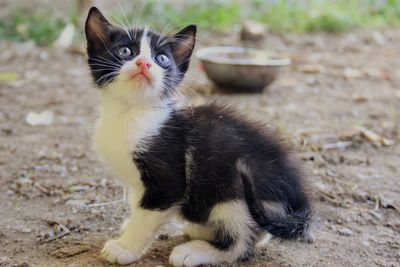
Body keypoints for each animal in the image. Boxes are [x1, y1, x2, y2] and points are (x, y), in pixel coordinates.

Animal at [84, 6, 312, 267]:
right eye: (125, 51)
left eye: (161, 59)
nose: (144, 63)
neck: (130, 112)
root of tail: (298, 194)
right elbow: (138, 204)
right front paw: (127, 229)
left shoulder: (168, 177)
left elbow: (147, 215)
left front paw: (126, 246)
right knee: (260, 232)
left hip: (234, 190)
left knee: (241, 243)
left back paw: (194, 251)